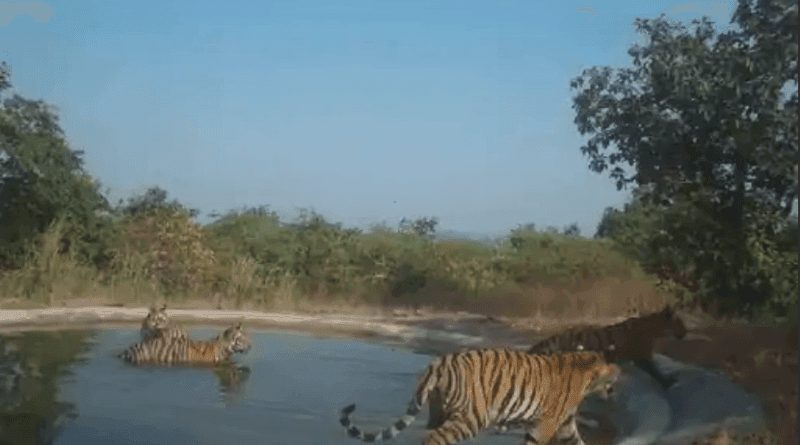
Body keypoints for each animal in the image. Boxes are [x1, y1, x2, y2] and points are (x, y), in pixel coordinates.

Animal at [339, 348, 621, 445]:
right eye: (612, 376)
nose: (616, 386)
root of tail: (438, 364)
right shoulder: (547, 423)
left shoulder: (565, 425)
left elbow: (578, 442)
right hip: (474, 416)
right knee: (433, 438)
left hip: (440, 411)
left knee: (426, 434)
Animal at [526, 304, 688, 390]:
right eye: (680, 322)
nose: (686, 332)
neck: (656, 330)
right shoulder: (642, 357)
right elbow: (656, 371)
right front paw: (668, 382)